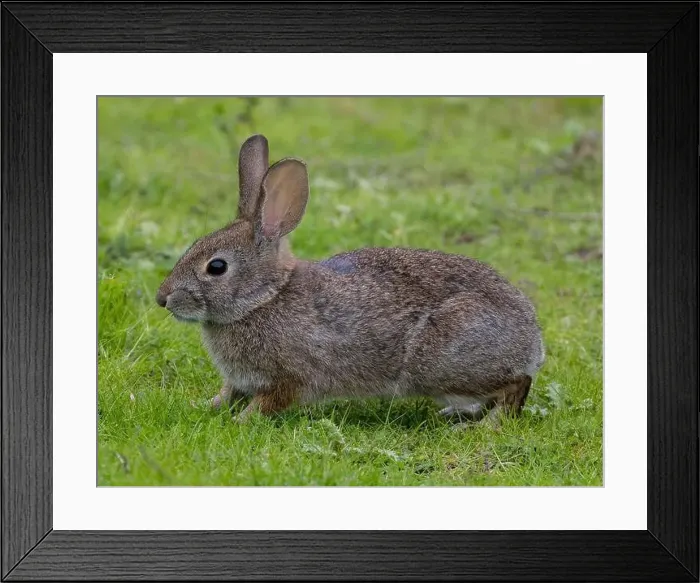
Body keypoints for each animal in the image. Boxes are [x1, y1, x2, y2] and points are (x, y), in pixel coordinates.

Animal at [155, 134, 545, 423]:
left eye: (216, 267)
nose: (162, 298)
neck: (264, 298)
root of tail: (533, 341)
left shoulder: (290, 378)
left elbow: (266, 404)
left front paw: (240, 422)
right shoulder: (239, 379)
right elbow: (227, 394)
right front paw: (204, 407)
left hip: (443, 362)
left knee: (516, 385)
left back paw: (486, 425)